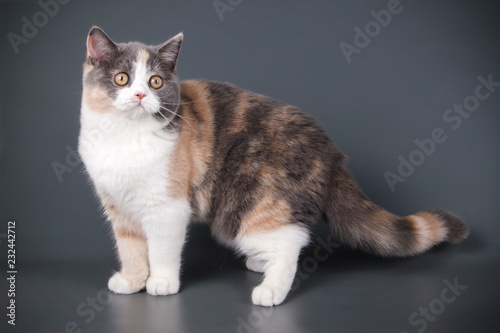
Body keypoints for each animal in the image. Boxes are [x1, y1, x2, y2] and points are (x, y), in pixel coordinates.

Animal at [78, 27, 468, 304]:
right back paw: (260, 265)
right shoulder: (118, 208)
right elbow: (130, 247)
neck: (125, 138)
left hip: (252, 205)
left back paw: (272, 289)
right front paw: (132, 280)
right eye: (122, 78)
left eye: (155, 81)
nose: (140, 95)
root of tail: (330, 150)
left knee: (291, 242)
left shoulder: (167, 207)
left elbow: (161, 247)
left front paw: (160, 282)